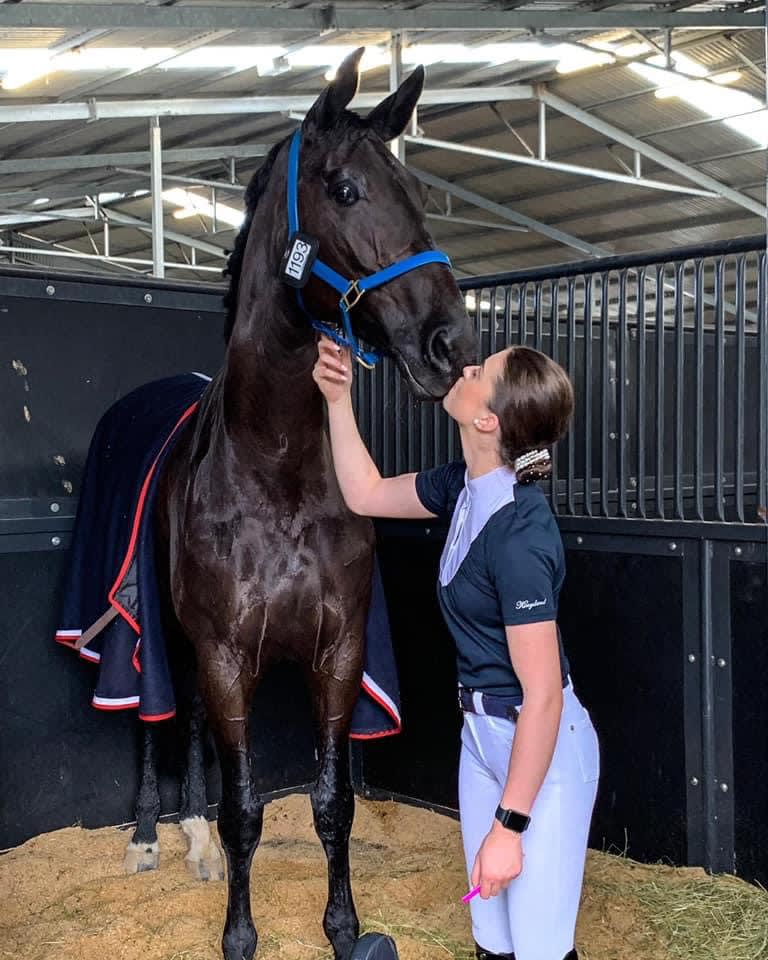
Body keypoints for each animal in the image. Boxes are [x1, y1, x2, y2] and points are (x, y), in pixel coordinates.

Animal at [126, 48, 476, 960]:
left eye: (416, 191)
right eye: (345, 188)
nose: (451, 344)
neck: (275, 472)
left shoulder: (338, 654)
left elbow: (332, 803)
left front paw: (344, 928)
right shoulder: (222, 656)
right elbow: (245, 810)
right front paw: (239, 936)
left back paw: (192, 842)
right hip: (166, 634)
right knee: (157, 721)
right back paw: (146, 837)